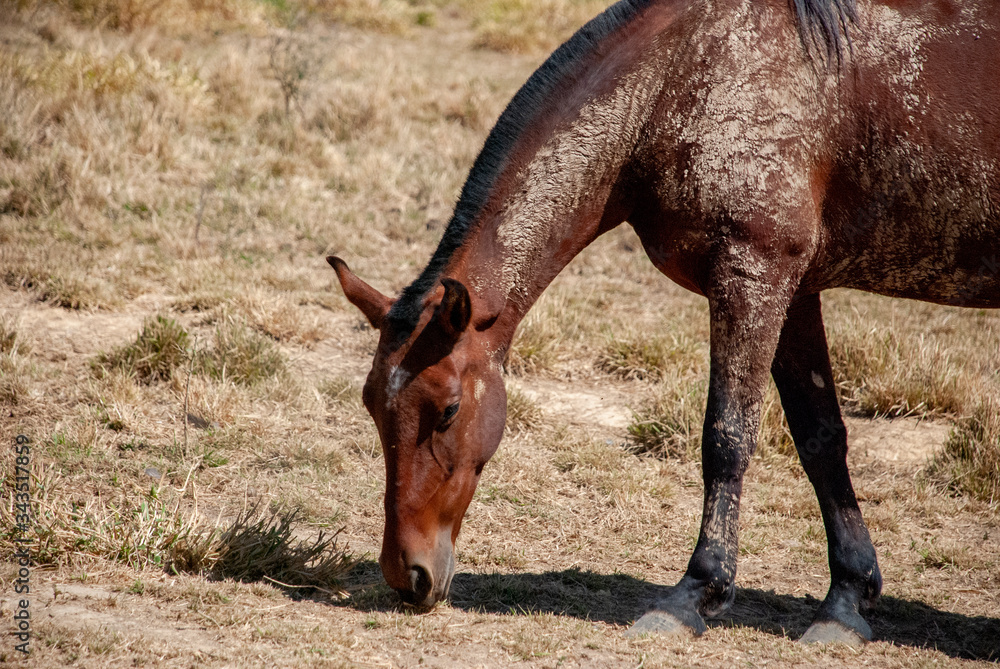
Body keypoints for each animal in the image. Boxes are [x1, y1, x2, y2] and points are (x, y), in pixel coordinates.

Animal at [329, 0, 999, 645]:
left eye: (446, 411)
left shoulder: (752, 278)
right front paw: (845, 603)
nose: (407, 574)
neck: (684, 75)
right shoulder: (794, 290)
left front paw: (693, 595)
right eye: (372, 406)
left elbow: (726, 439)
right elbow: (822, 439)